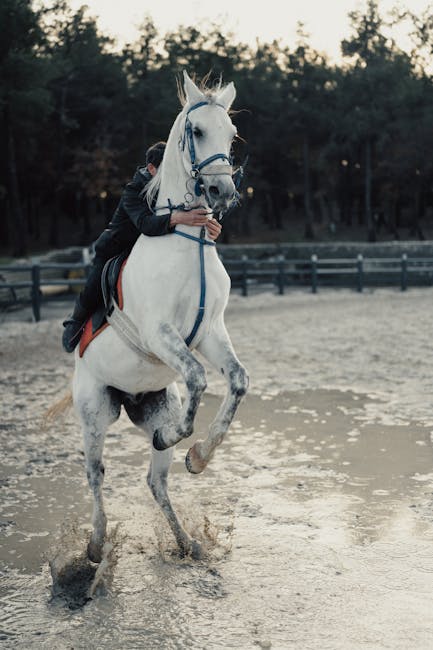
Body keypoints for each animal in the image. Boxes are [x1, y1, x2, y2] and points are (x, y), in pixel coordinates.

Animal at [72, 69, 248, 556]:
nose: (222, 191)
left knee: (155, 480)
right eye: (197, 131)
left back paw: (186, 543)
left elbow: (237, 381)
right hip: (94, 413)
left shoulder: (210, 333)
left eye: (232, 133)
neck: (189, 244)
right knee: (96, 475)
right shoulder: (160, 335)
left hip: (154, 405)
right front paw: (187, 445)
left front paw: (199, 458)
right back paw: (94, 549)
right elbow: (198, 378)